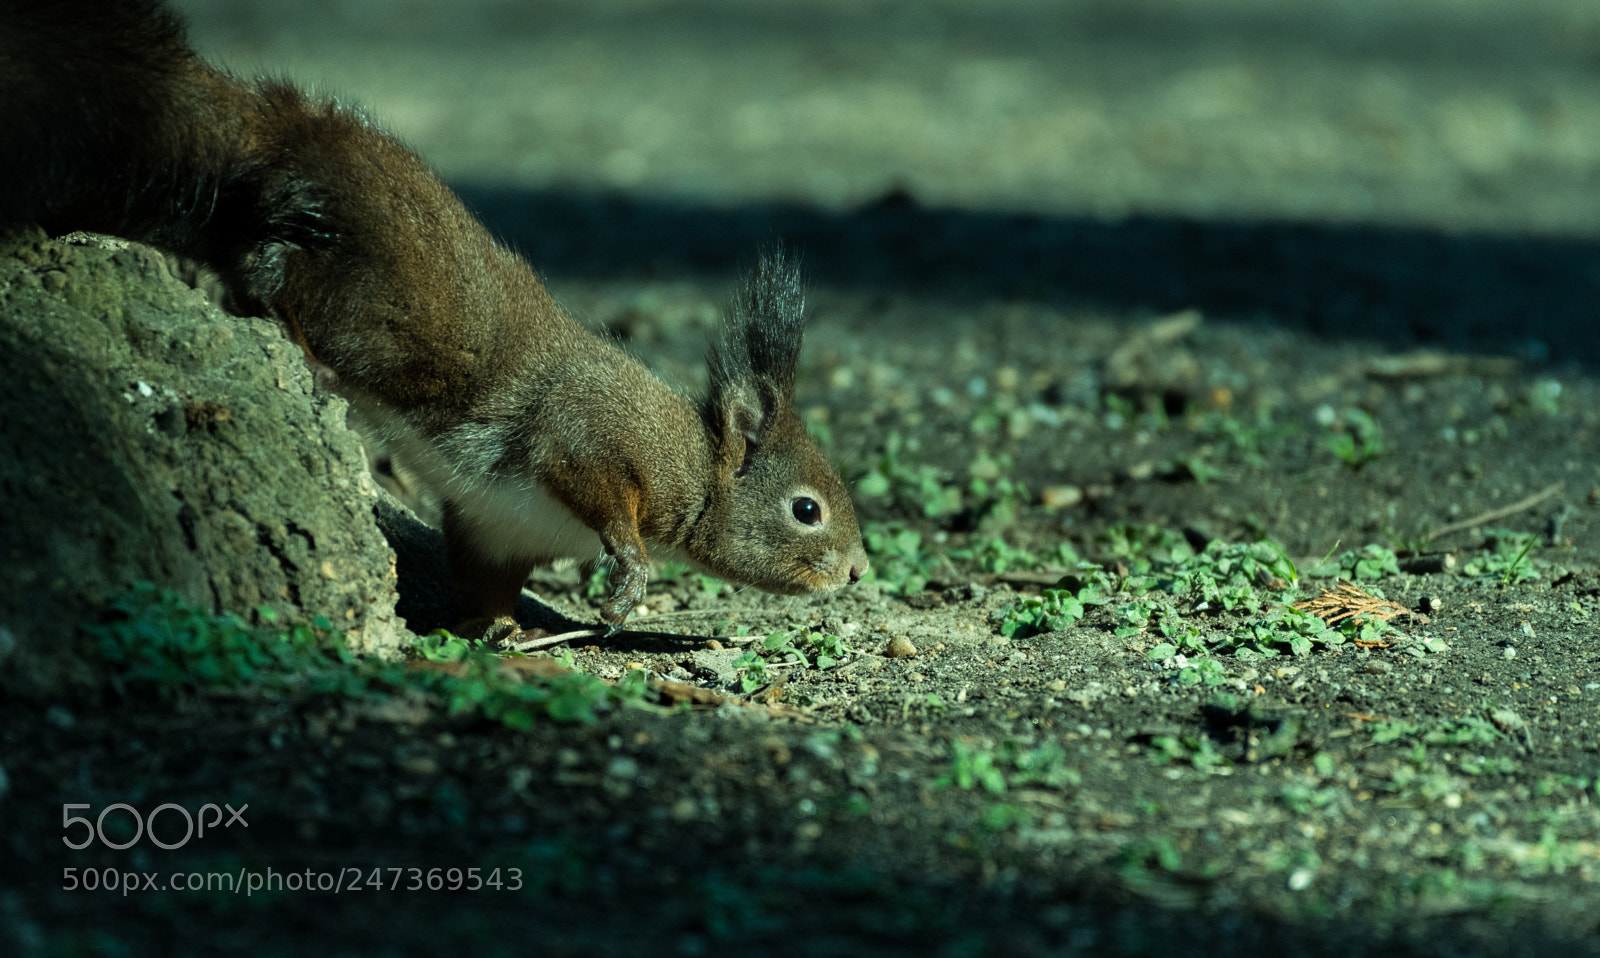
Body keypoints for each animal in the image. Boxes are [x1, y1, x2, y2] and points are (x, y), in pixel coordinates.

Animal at [0, 0, 869, 635]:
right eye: (806, 510)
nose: (859, 570)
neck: (695, 463)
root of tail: (285, 133)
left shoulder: (501, 528)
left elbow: (484, 583)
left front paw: (503, 633)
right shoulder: (592, 437)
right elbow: (596, 486)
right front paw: (627, 576)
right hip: (371, 298)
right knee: (270, 271)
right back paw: (303, 352)